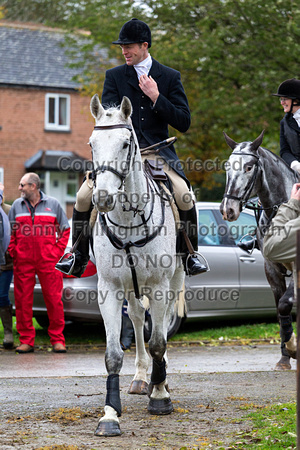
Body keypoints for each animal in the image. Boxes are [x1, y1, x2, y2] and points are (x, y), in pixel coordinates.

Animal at [88, 95, 184, 436]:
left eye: (126, 143)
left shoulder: (158, 285)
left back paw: (158, 380)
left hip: (174, 280)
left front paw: (161, 396)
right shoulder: (109, 288)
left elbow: (158, 341)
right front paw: (109, 414)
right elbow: (113, 354)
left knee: (162, 323)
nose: (103, 198)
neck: (130, 218)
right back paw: (143, 378)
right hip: (131, 286)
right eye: (92, 144)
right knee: (139, 316)